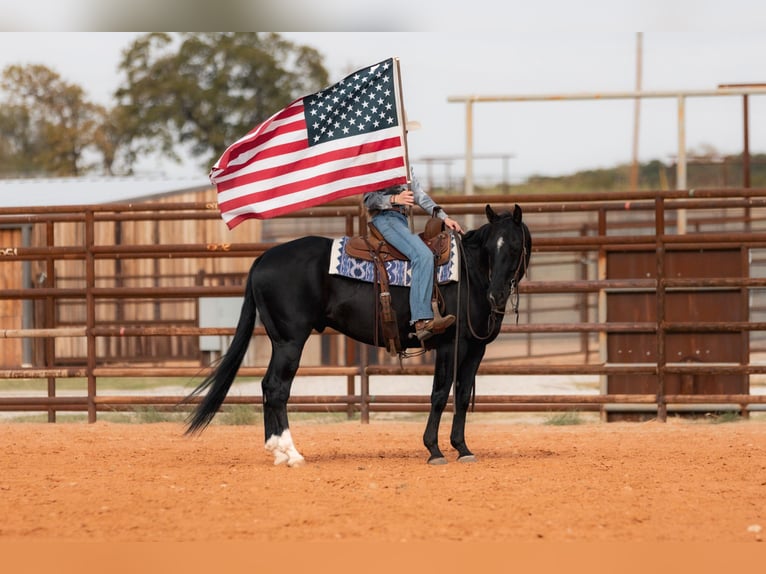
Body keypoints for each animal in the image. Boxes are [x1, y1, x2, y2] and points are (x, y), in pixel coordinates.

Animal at [187, 205, 536, 466]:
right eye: (491, 248)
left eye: (514, 246)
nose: (496, 295)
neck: (470, 276)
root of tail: (262, 259)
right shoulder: (450, 345)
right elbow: (439, 394)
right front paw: (434, 450)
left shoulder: (475, 349)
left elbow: (462, 395)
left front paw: (462, 448)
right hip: (291, 342)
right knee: (277, 388)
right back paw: (292, 453)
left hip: (280, 341)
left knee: (267, 386)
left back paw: (278, 452)